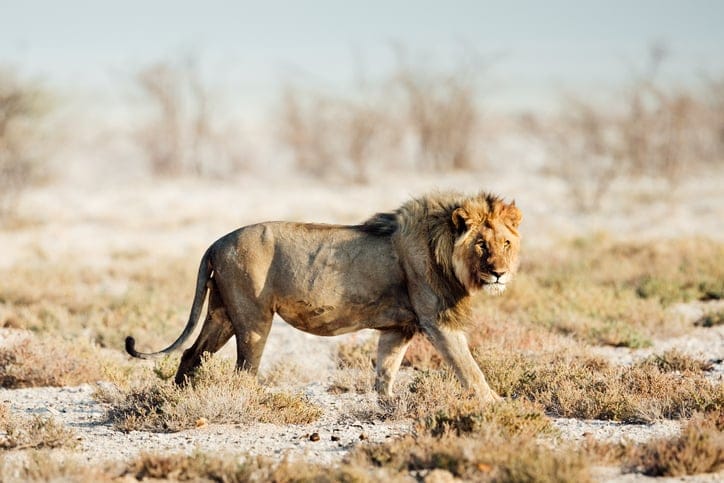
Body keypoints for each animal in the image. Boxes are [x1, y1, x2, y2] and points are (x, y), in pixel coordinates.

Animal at [125, 191, 522, 402]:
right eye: (481, 244)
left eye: (506, 242)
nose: (499, 272)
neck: (442, 247)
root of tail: (216, 242)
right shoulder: (437, 322)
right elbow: (470, 370)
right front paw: (495, 404)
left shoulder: (399, 328)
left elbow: (386, 370)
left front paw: (387, 404)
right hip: (253, 318)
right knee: (243, 370)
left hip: (221, 312)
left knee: (192, 353)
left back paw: (176, 400)